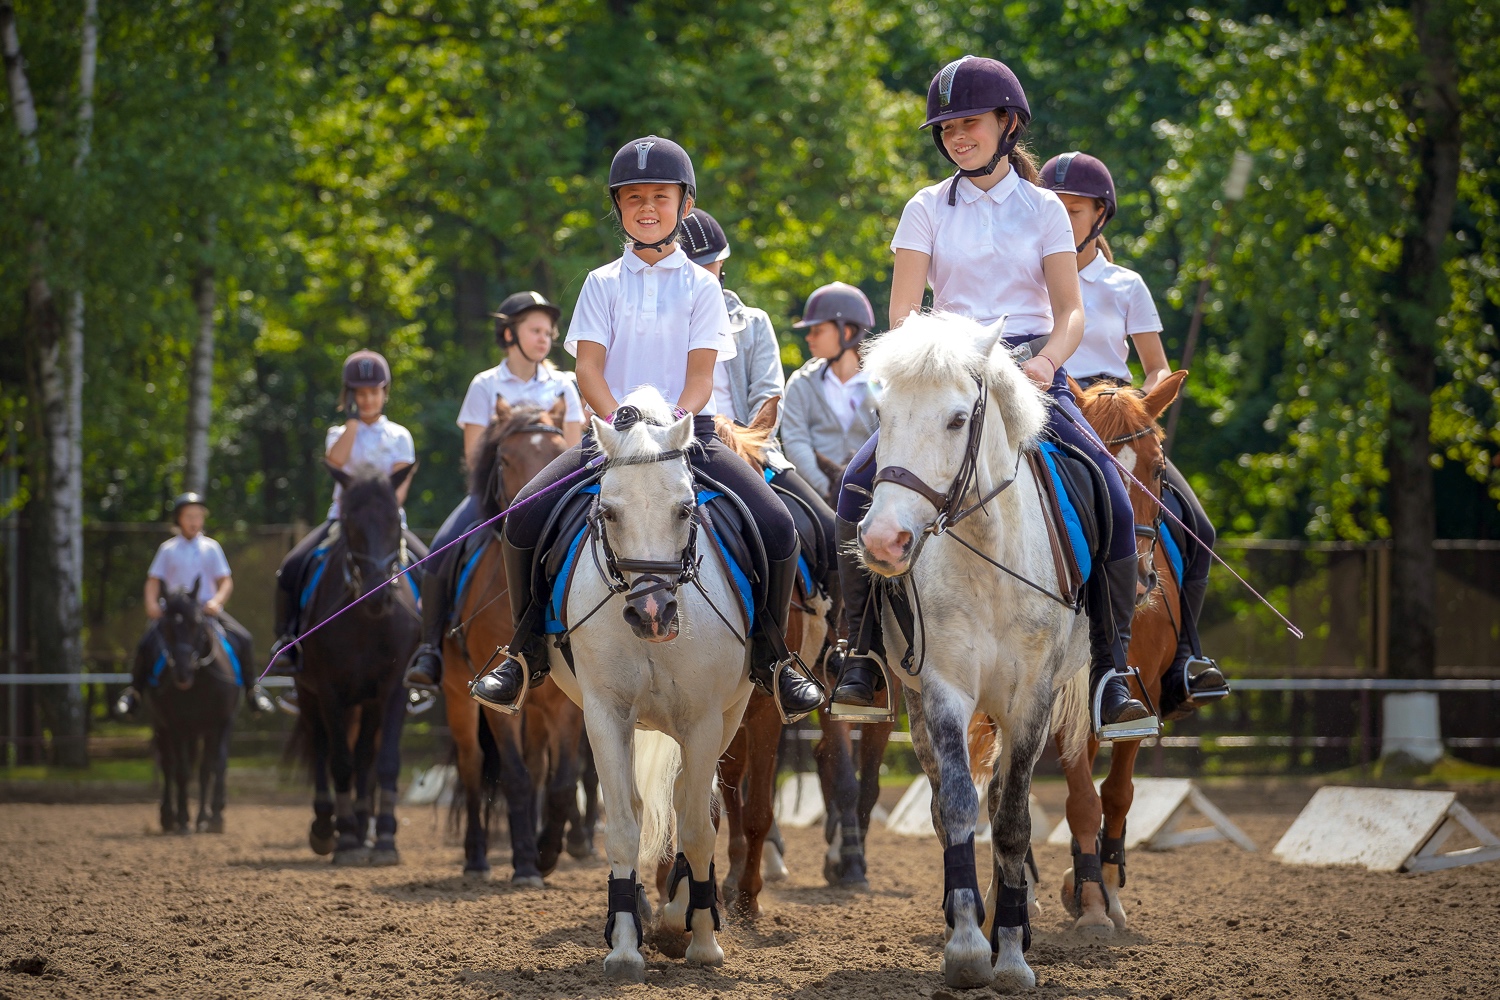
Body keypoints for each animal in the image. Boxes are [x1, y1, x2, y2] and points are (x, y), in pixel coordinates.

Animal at [147, 587, 241, 839]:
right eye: (166, 626)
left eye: (196, 623)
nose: (182, 672)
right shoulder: (176, 726)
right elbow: (182, 771)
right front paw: (183, 819)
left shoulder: (218, 724)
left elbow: (211, 768)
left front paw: (210, 818)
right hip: (162, 727)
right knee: (168, 766)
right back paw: (168, 815)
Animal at [292, 461, 423, 863]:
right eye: (349, 521)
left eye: (395, 518)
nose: (378, 593)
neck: (366, 619)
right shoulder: (329, 690)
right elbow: (340, 761)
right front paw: (346, 837)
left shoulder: (394, 688)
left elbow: (384, 761)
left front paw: (384, 837)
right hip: (309, 694)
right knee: (322, 748)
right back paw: (326, 826)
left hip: (368, 701)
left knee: (366, 754)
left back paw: (366, 825)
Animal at [438, 395, 591, 881]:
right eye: (504, 458)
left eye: (559, 452)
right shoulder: (496, 702)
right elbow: (516, 776)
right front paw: (525, 859)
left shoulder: (565, 704)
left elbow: (562, 780)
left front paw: (546, 852)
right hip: (457, 695)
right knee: (472, 766)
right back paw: (476, 856)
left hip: (538, 709)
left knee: (540, 767)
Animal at [543, 386, 750, 983]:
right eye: (608, 512)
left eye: (685, 508)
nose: (653, 614)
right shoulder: (605, 714)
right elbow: (622, 825)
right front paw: (624, 946)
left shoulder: (704, 720)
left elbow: (698, 827)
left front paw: (704, 943)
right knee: (643, 804)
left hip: (730, 715)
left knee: (688, 803)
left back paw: (684, 912)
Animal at [858, 314, 1092, 995]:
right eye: (880, 412)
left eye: (958, 419)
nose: (884, 541)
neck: (988, 555)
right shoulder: (943, 690)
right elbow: (959, 806)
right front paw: (965, 947)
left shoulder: (1031, 701)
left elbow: (1012, 821)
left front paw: (1010, 954)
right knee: (945, 806)